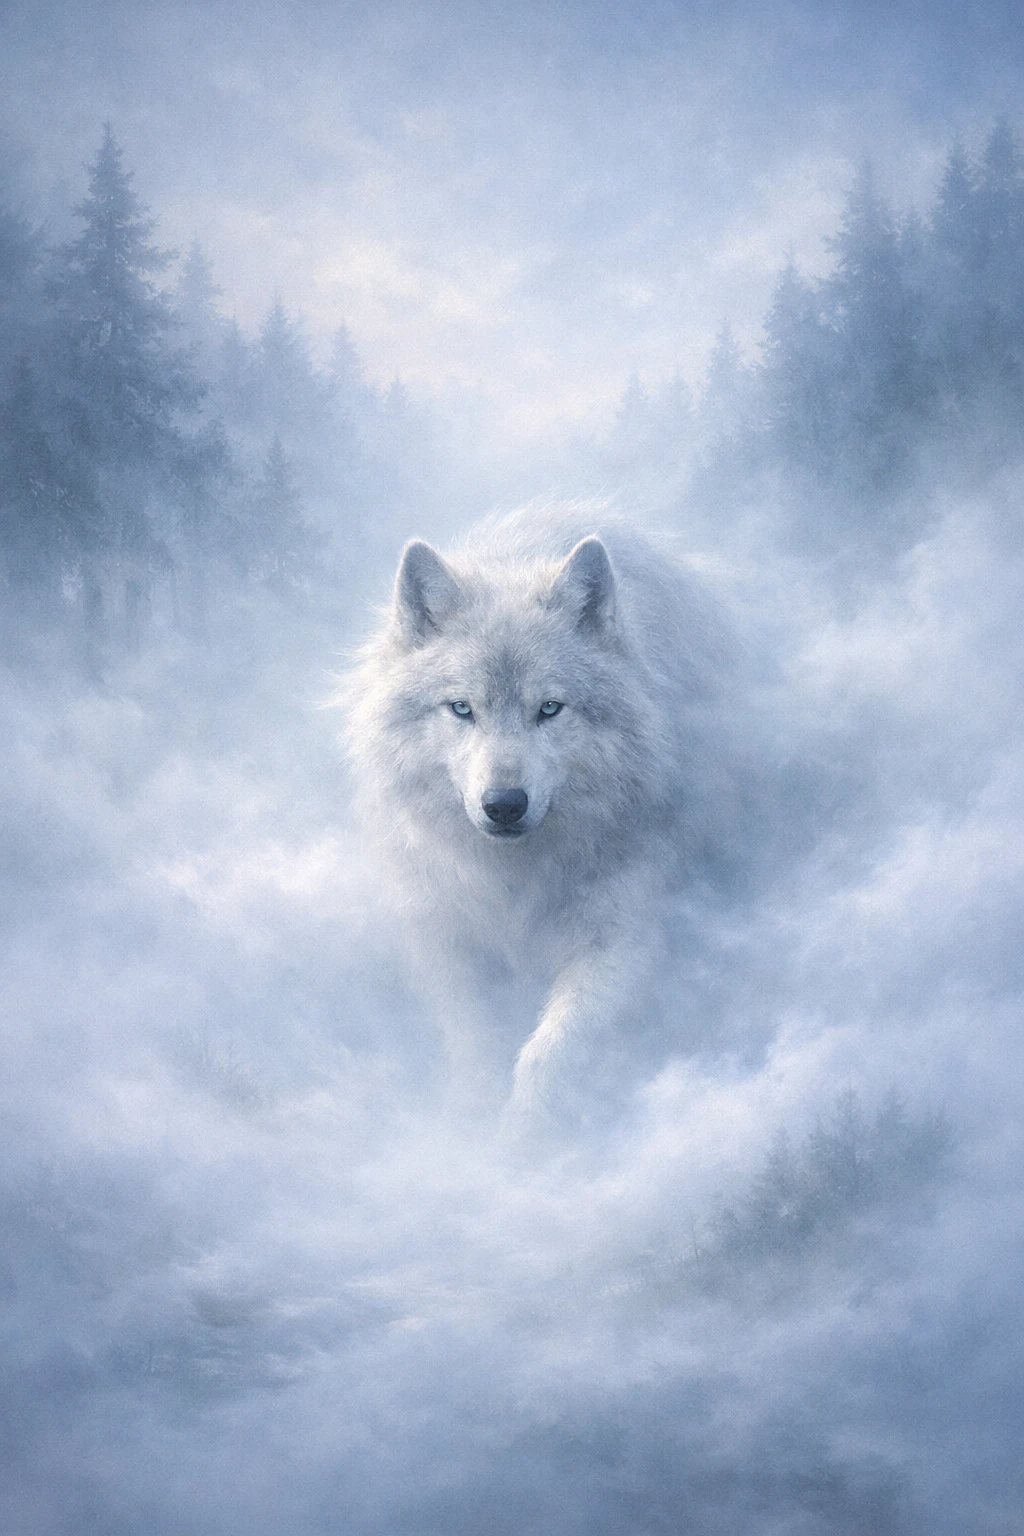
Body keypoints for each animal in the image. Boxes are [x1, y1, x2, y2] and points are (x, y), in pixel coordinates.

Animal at [343, 504, 728, 1128]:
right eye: (461, 708)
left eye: (549, 708)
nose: (504, 805)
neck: (515, 883)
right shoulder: (442, 934)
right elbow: (474, 1038)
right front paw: (475, 1114)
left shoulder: (623, 935)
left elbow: (552, 1054)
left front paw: (529, 1134)